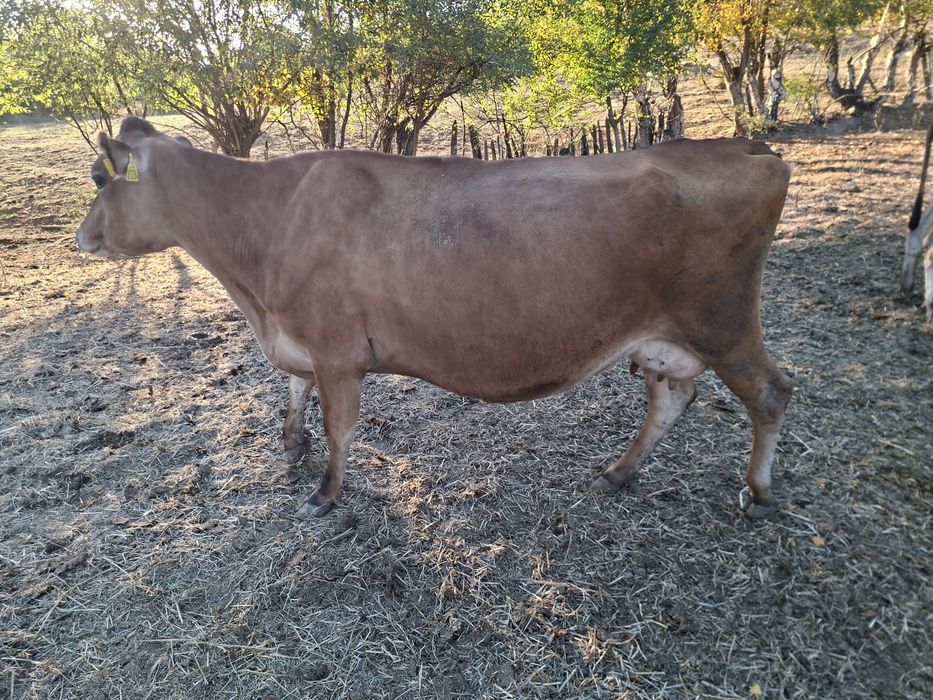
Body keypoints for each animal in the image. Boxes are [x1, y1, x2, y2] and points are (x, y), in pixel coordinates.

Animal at [76, 116, 794, 520]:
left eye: (99, 179)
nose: (83, 237)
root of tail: (743, 146)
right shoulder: (300, 341)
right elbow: (293, 391)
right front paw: (291, 444)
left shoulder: (337, 350)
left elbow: (339, 427)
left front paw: (326, 494)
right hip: (669, 337)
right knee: (671, 396)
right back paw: (620, 471)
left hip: (723, 321)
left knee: (770, 392)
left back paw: (760, 494)